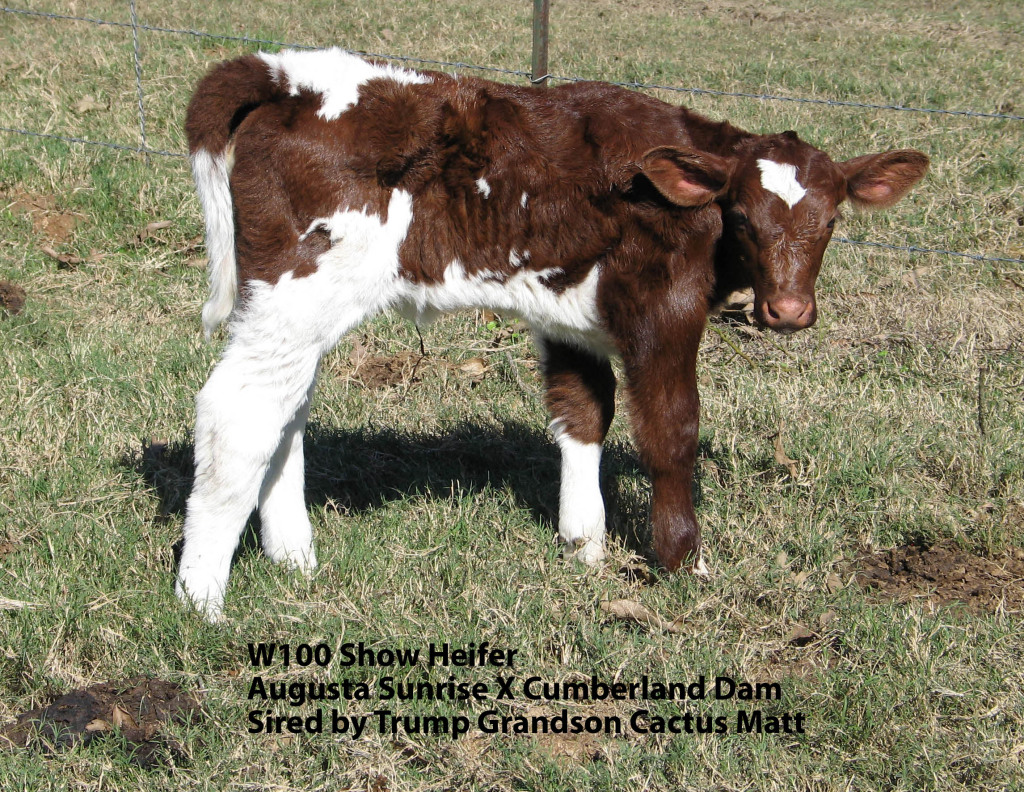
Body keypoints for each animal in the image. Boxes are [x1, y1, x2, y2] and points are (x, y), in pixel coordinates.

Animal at [176, 47, 929, 618]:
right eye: (741, 216)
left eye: (831, 220)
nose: (789, 310)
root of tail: (285, 73)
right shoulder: (666, 310)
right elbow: (671, 430)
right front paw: (683, 561)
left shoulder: (569, 316)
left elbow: (582, 412)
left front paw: (584, 544)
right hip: (299, 291)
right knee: (238, 412)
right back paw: (203, 598)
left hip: (285, 307)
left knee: (285, 411)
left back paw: (294, 560)